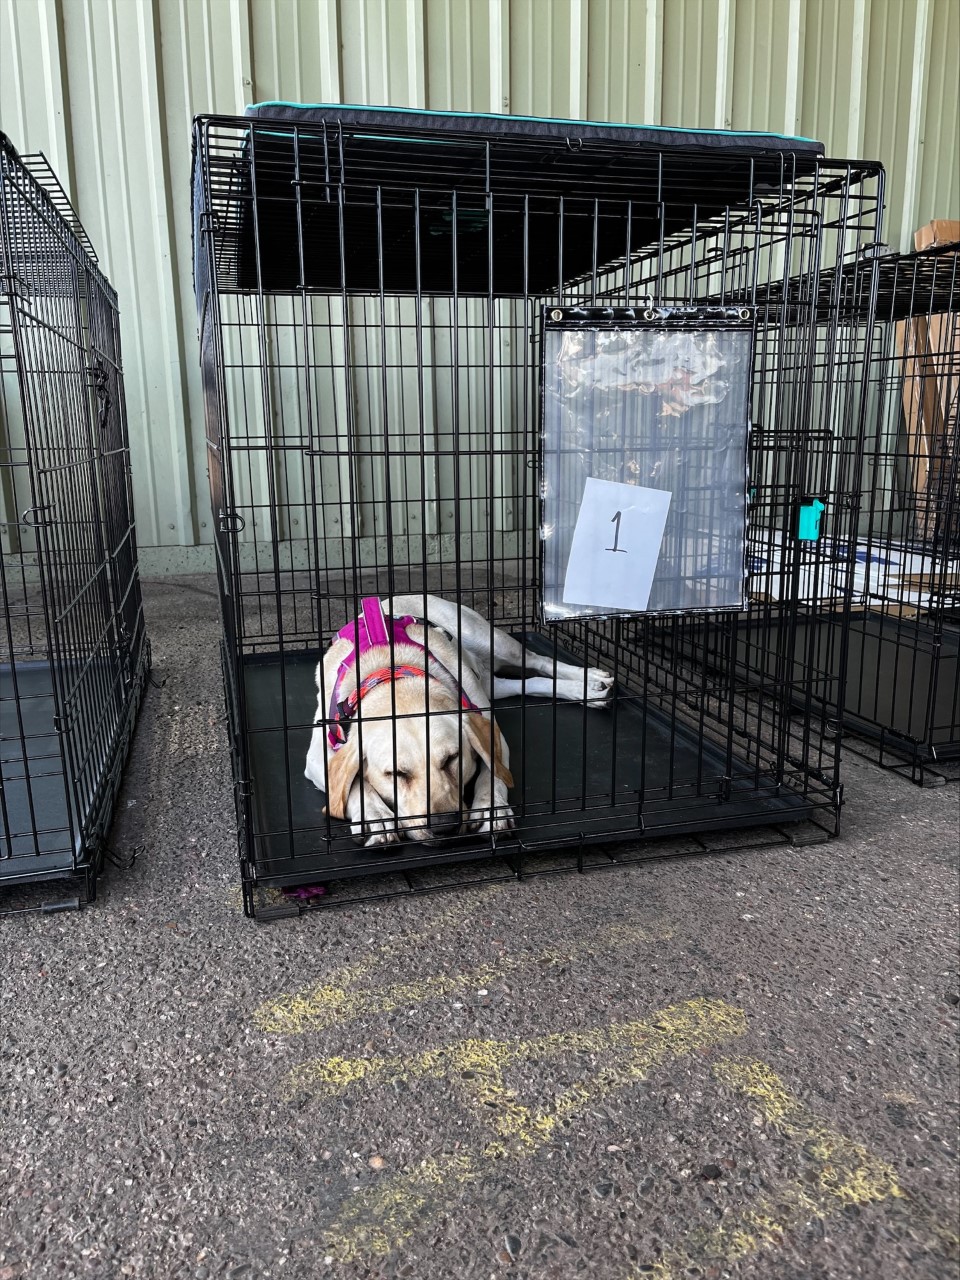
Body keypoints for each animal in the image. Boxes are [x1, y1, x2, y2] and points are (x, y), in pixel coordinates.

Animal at [304, 593, 611, 844]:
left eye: (452, 758)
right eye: (395, 774)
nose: (443, 826)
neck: (395, 673)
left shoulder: (491, 731)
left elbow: (492, 771)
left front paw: (491, 808)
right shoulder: (319, 755)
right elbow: (353, 783)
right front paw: (376, 814)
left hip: (488, 640)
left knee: (539, 661)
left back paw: (590, 679)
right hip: (489, 683)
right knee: (527, 682)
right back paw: (586, 690)